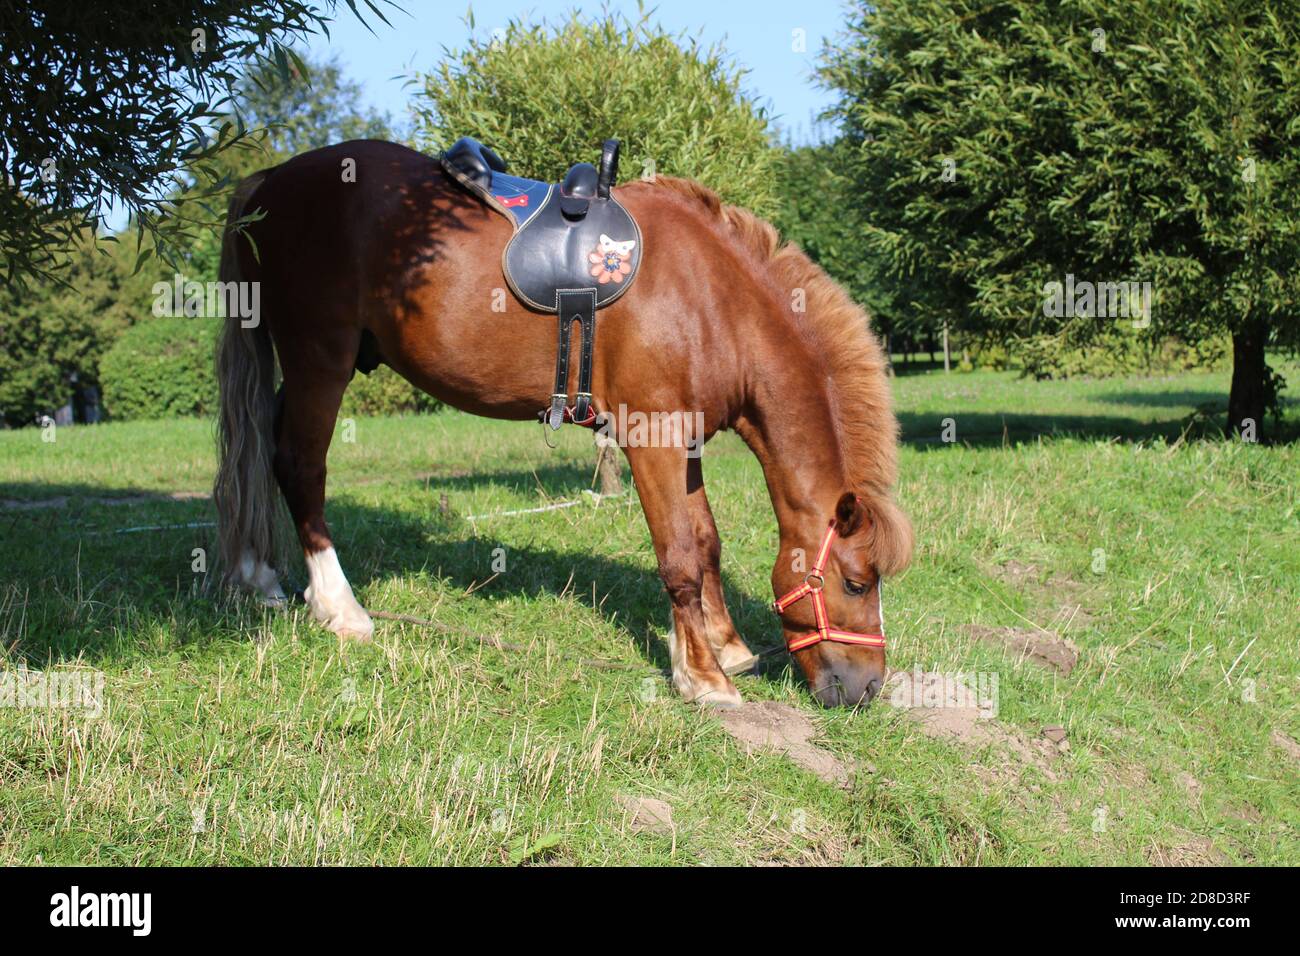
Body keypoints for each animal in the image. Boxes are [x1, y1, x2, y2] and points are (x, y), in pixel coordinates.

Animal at [210, 138, 915, 707]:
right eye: (856, 582)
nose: (867, 689)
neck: (711, 300)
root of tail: (269, 179)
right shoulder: (651, 436)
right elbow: (680, 555)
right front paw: (702, 678)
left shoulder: (685, 438)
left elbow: (707, 539)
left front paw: (725, 647)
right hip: (319, 362)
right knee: (300, 464)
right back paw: (339, 607)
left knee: (260, 453)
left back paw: (260, 576)